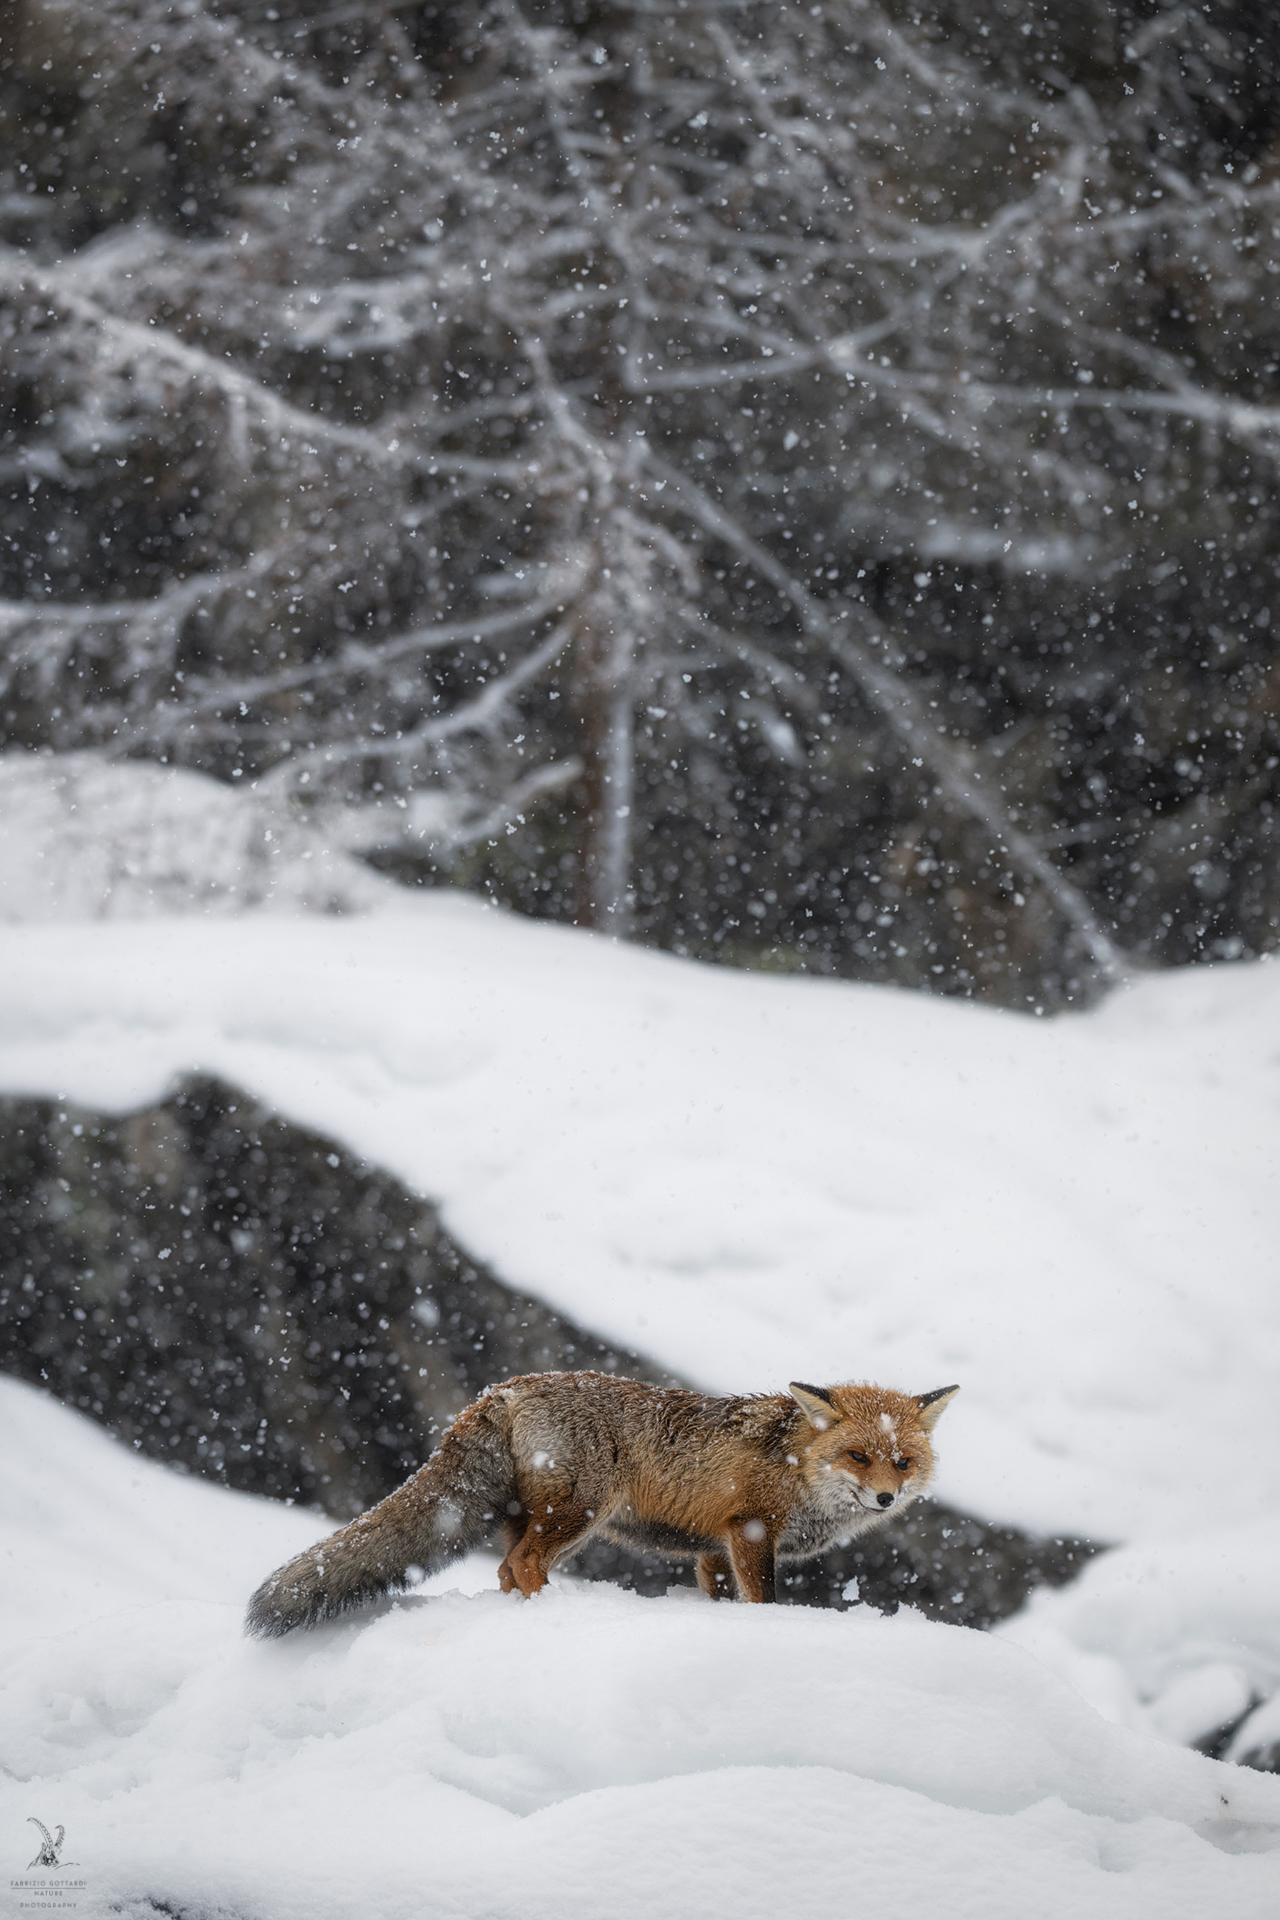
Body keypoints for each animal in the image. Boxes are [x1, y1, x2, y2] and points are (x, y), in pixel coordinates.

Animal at [244, 1371, 959, 1634]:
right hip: (580, 1514)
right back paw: (551, 1614)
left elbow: (717, 1595)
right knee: (524, 1565)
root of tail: (506, 1387)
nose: (886, 1496)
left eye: (902, 1461)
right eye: (858, 1456)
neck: (797, 1467)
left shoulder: (713, 1548)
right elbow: (764, 1602)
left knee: (504, 1568)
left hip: (537, 1516)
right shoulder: (753, 1530)